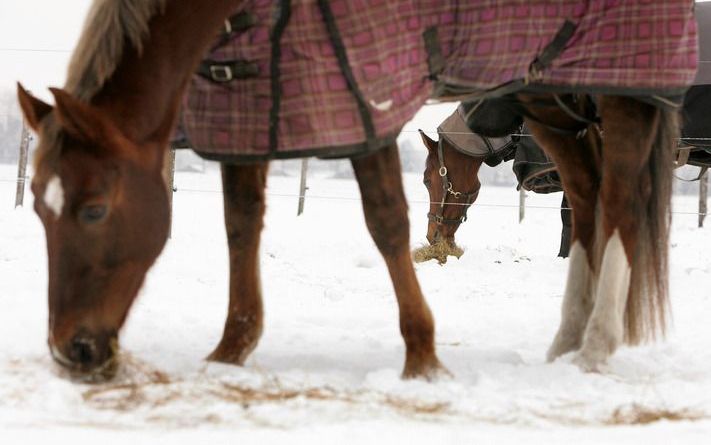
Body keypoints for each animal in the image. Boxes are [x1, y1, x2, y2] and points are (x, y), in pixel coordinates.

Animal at [16, 0, 696, 382]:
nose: (75, 350)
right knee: (586, 201)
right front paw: (231, 350)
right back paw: (568, 341)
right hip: (553, 101)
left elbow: (385, 220)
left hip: (618, 96)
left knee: (617, 204)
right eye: (43, 210)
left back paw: (597, 345)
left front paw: (422, 356)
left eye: (94, 210)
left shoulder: (363, 92)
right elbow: (241, 220)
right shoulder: (253, 104)